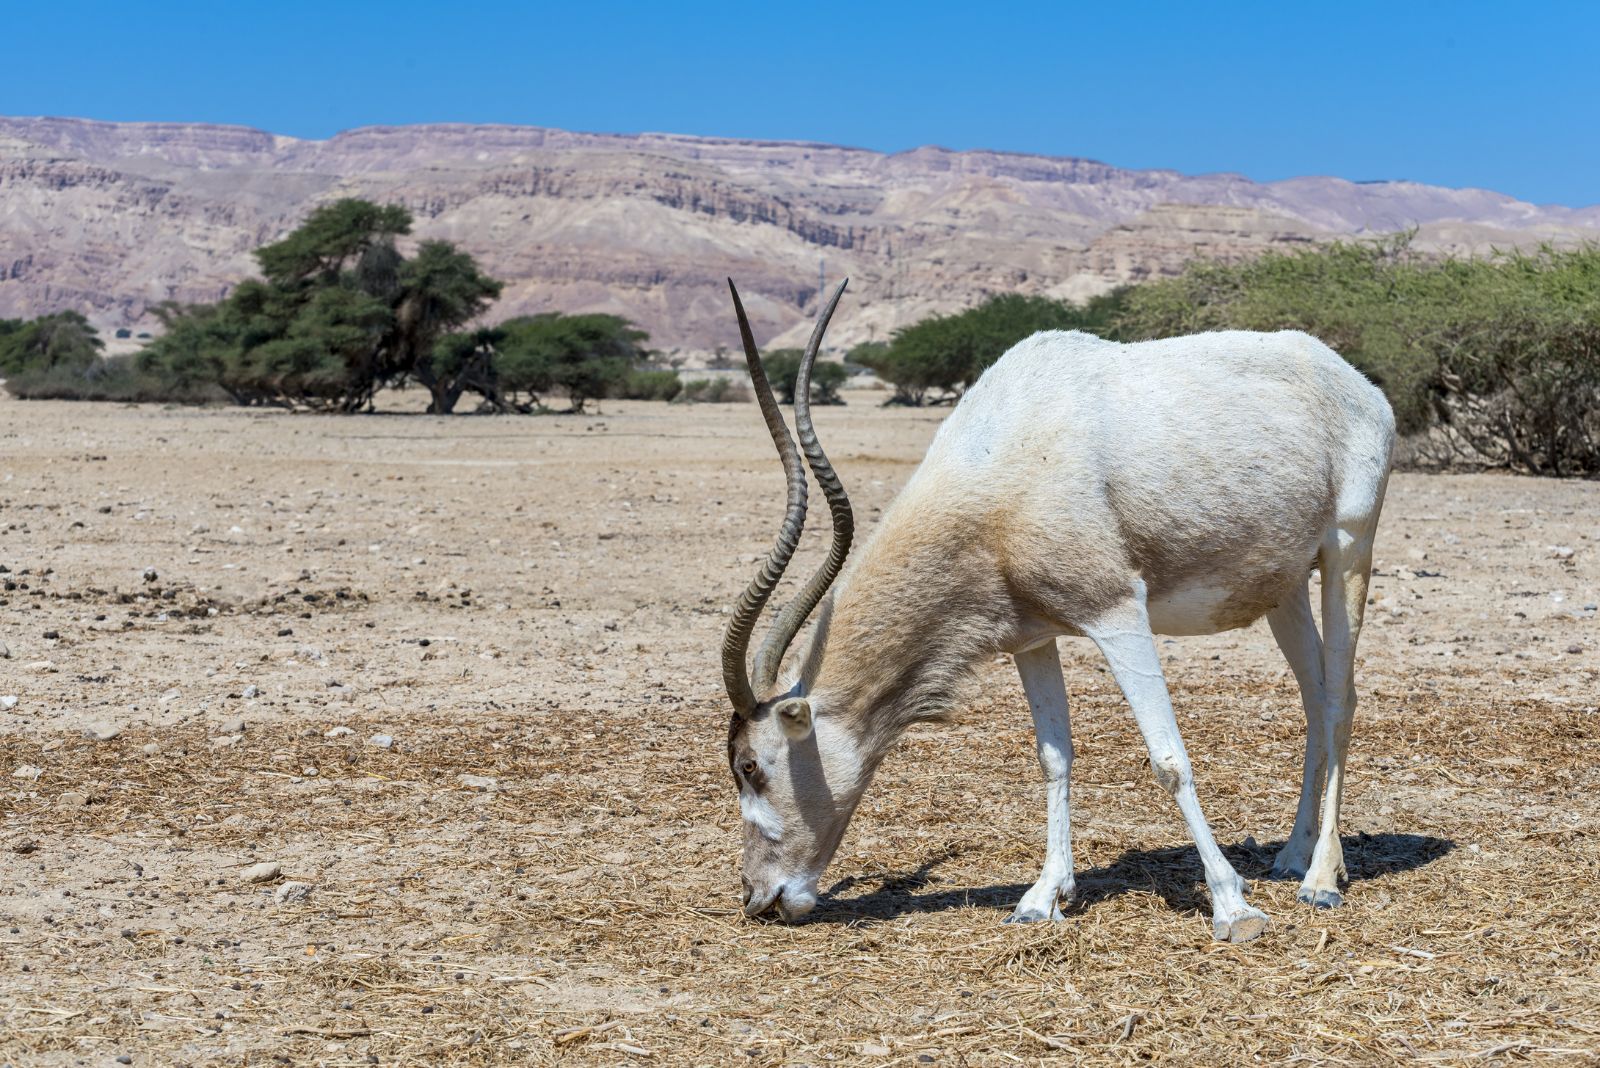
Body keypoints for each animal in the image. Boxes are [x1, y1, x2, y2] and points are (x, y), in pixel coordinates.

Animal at [720, 278, 1395, 940]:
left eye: (751, 766)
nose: (759, 898)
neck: (999, 467)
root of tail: (1359, 386)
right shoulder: (1032, 636)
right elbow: (1053, 757)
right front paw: (1043, 896)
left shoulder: (1117, 612)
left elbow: (1168, 760)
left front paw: (1233, 907)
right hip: (1285, 588)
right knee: (1314, 695)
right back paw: (1292, 854)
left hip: (1347, 551)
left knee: (1339, 699)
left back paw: (1322, 878)